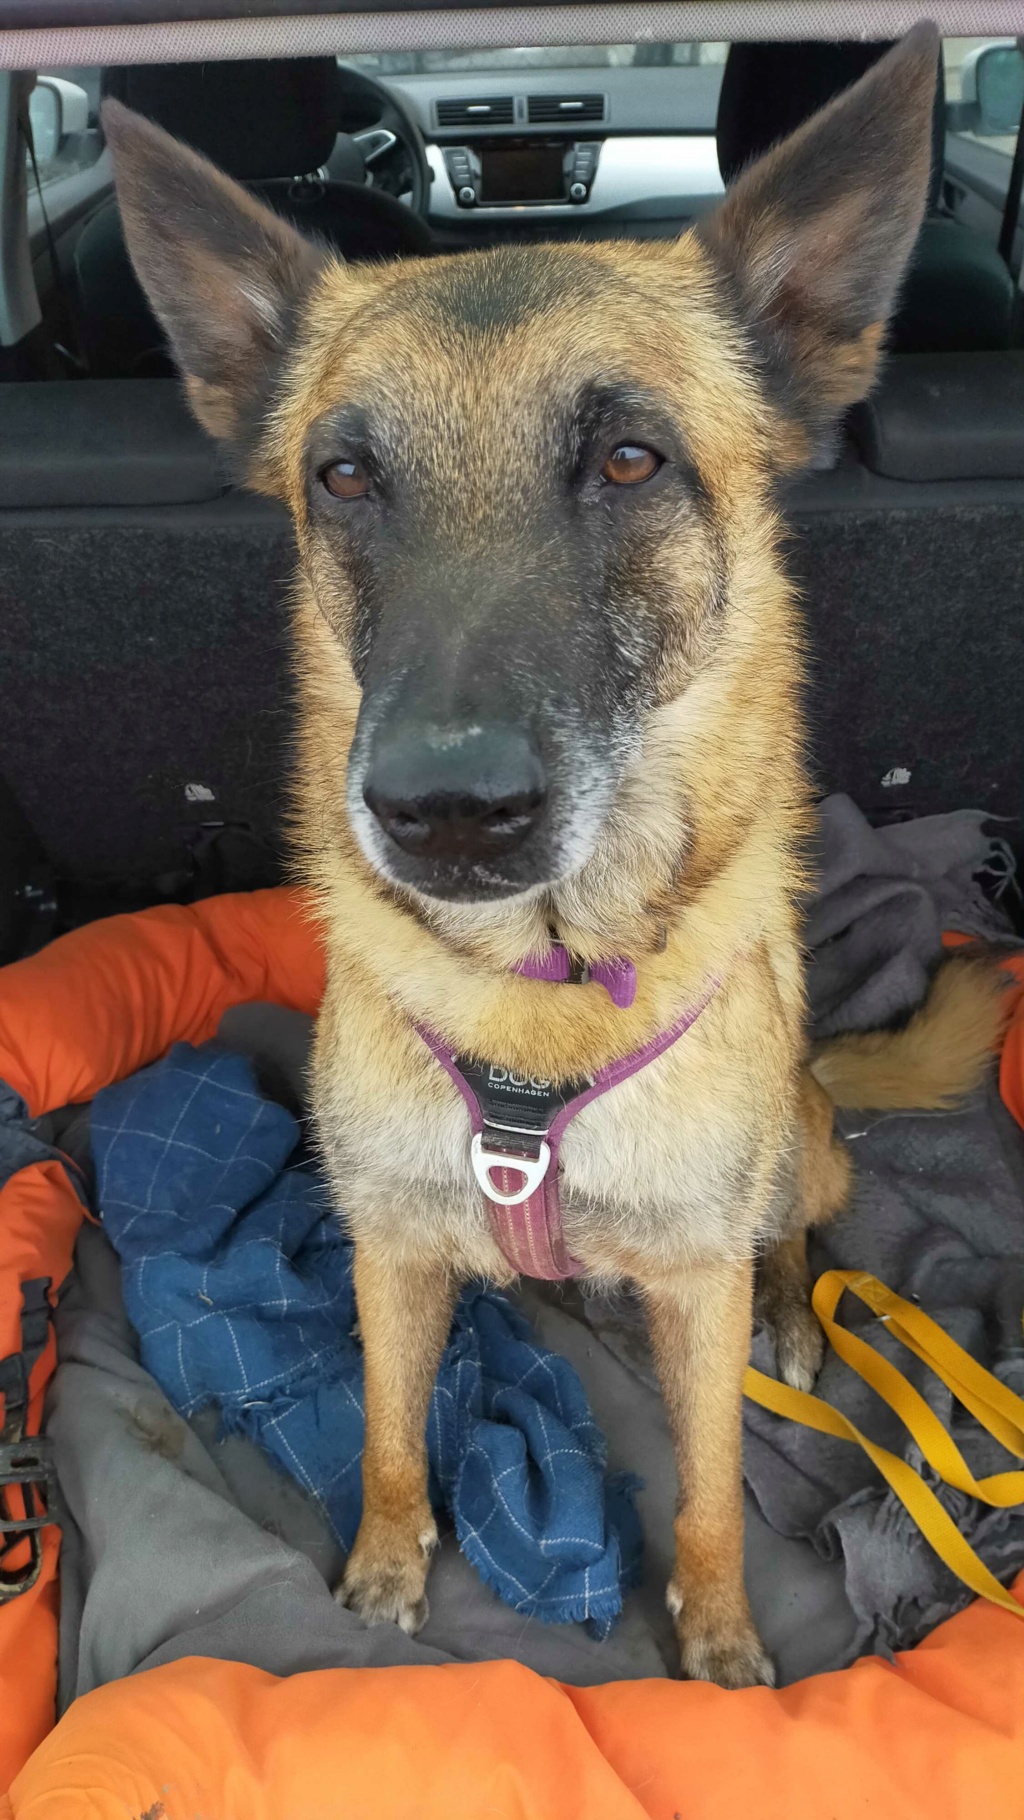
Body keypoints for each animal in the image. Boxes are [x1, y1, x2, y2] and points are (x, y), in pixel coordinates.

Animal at [106, 21, 1011, 1681]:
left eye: (633, 461)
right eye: (343, 478)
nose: (443, 810)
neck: (540, 995)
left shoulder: (695, 1279)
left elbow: (713, 1479)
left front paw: (719, 1644)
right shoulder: (394, 1254)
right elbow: (392, 1436)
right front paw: (385, 1570)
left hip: (798, 1155)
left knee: (796, 1240)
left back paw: (798, 1316)